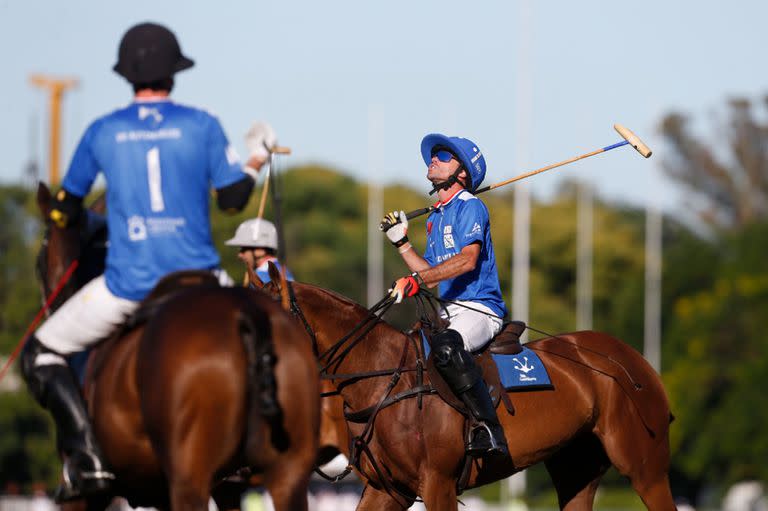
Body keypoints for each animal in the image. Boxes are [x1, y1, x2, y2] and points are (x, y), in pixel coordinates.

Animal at [266, 278, 680, 511]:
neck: (384, 378)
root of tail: (636, 361)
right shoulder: (389, 489)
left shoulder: (438, 482)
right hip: (576, 465)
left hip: (645, 465)